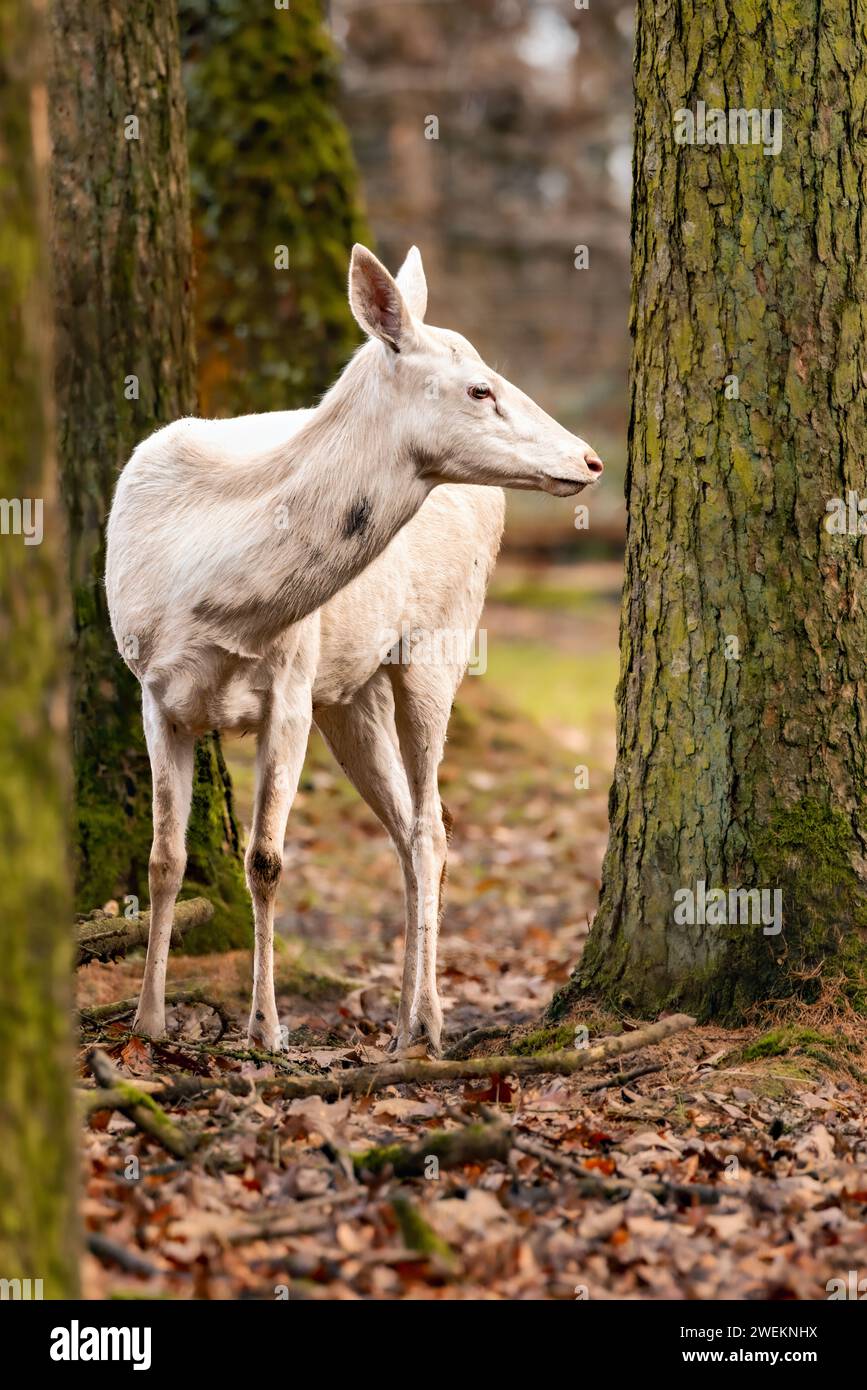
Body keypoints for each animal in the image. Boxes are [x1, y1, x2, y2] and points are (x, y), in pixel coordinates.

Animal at [104, 247, 600, 1050]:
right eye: (479, 387)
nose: (588, 460)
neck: (211, 600)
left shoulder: (290, 686)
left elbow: (265, 858)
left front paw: (266, 1031)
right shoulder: (152, 690)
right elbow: (163, 858)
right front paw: (149, 1025)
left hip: (439, 641)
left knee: (431, 826)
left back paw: (425, 1023)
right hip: (350, 695)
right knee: (403, 826)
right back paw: (402, 1019)